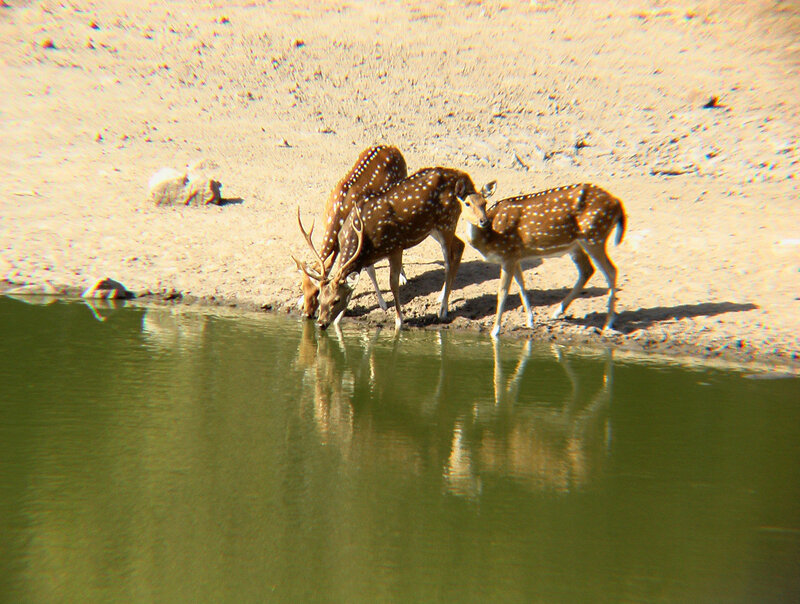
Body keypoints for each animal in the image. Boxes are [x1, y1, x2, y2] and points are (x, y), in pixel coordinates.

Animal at [293, 145, 408, 319]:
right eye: (302, 287)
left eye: (317, 293)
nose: (307, 314)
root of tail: (392, 147)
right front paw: (299, 301)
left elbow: (368, 270)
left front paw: (382, 303)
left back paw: (402, 277)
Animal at [297, 167, 488, 330]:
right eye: (320, 296)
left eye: (336, 300)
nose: (320, 323)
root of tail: (464, 176)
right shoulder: (368, 258)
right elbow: (356, 285)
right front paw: (338, 321)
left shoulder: (395, 246)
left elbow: (393, 283)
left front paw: (399, 321)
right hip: (434, 228)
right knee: (460, 245)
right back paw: (442, 298)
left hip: (447, 221)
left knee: (450, 258)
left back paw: (443, 309)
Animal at [457, 183, 626, 337]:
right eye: (467, 203)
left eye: (484, 203)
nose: (483, 221)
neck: (490, 237)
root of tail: (617, 203)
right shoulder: (515, 256)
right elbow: (522, 287)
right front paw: (530, 322)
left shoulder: (507, 254)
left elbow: (503, 292)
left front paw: (495, 331)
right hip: (577, 245)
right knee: (588, 270)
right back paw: (557, 312)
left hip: (594, 236)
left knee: (611, 270)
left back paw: (609, 323)